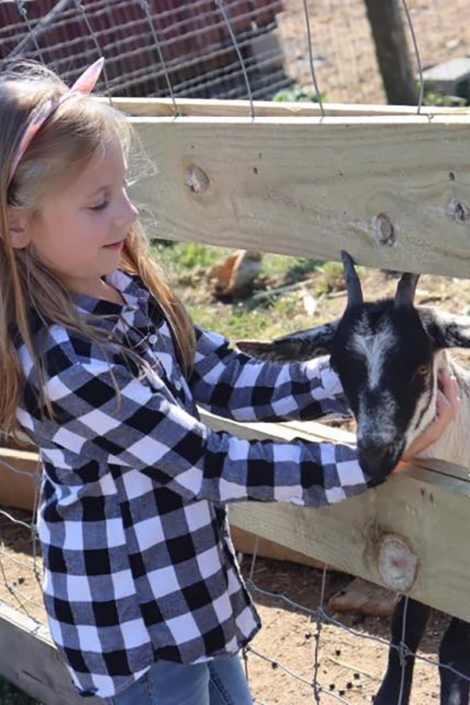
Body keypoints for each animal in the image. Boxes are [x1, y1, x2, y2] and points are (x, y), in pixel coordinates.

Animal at [237, 251, 470, 705]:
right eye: (339, 368)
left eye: (420, 368)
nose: (374, 455)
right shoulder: (424, 549)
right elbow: (404, 627)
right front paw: (389, 693)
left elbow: (453, 648)